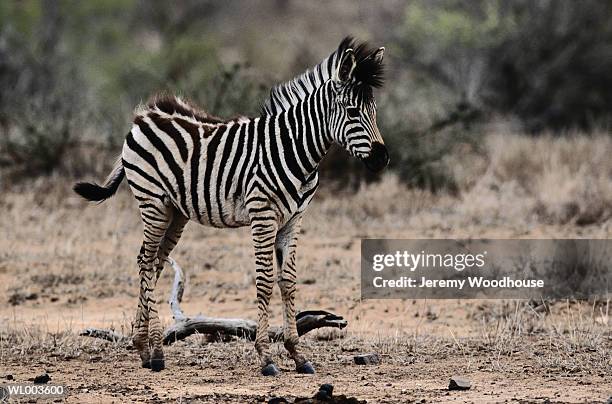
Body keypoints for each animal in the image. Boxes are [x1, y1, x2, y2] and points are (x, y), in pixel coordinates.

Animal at [73, 37, 388, 376]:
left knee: (154, 262)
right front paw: (266, 358)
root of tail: (145, 115)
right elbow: (265, 281)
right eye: (353, 111)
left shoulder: (294, 219)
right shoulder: (263, 214)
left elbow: (288, 282)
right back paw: (156, 352)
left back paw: (143, 347)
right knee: (145, 260)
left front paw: (298, 355)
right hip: (152, 200)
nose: (382, 159)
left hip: (175, 212)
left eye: (373, 110)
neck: (295, 151)